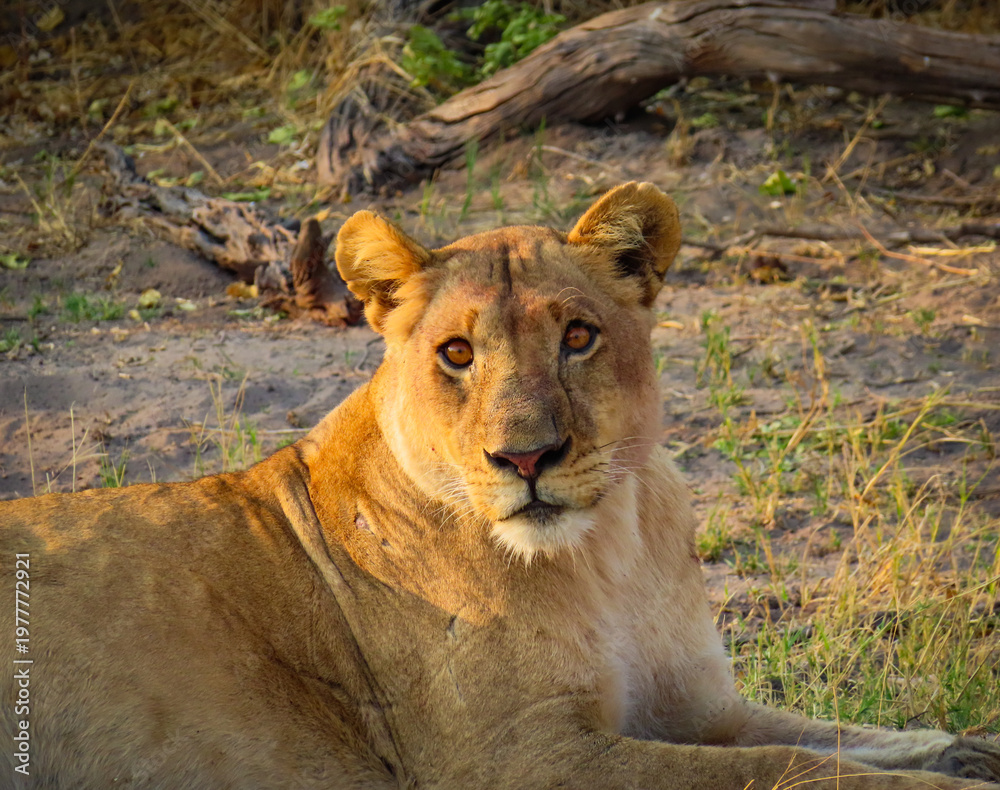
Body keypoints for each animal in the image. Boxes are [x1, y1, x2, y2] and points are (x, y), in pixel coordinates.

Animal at [2, 182, 999, 789]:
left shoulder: (695, 703)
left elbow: (835, 736)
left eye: (577, 337)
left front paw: (965, 753)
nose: (527, 459)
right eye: (456, 353)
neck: (608, 554)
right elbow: (782, 770)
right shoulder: (520, 757)